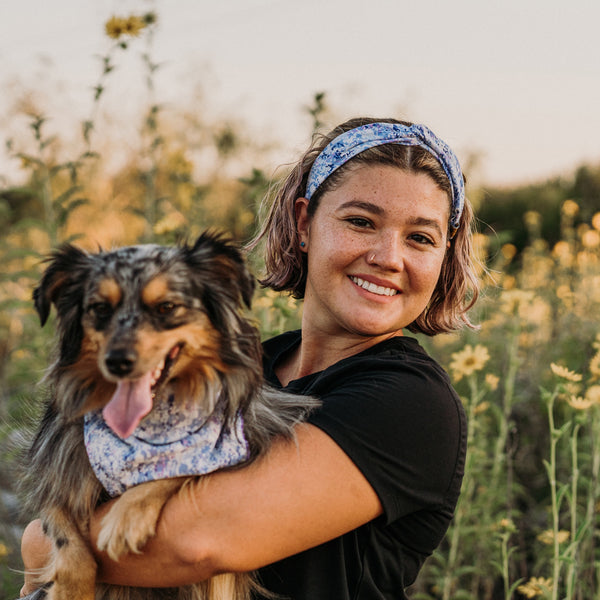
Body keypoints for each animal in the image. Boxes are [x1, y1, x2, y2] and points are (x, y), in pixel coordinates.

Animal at [20, 231, 318, 600]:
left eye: (166, 307)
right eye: (100, 309)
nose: (117, 362)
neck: (148, 425)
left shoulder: (245, 439)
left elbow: (182, 464)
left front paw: (129, 513)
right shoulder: (57, 471)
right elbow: (60, 528)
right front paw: (71, 586)